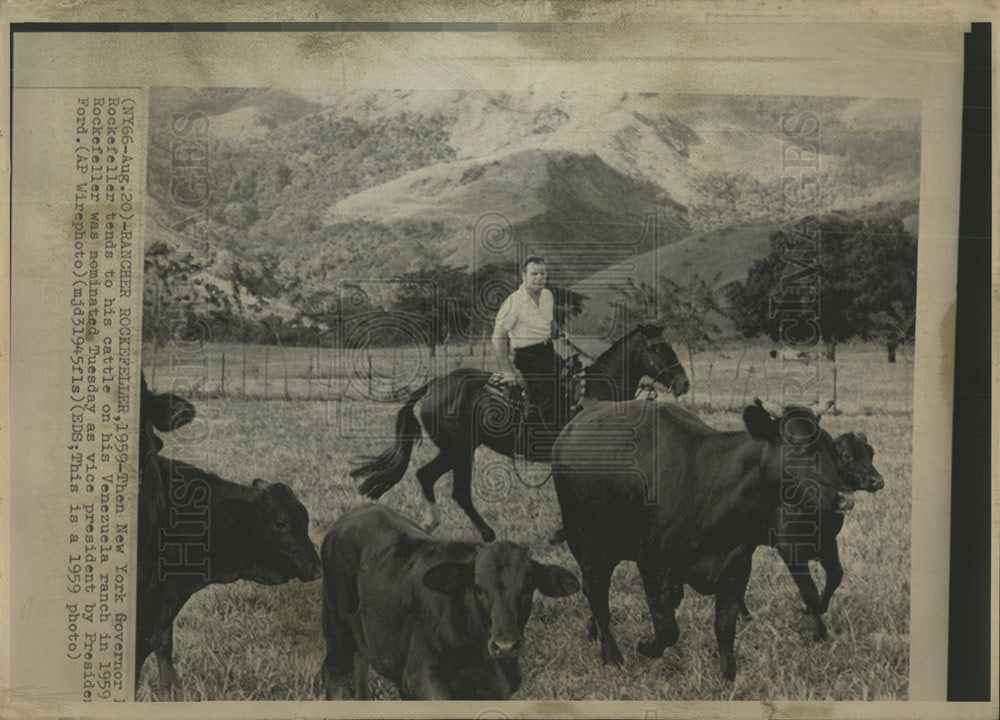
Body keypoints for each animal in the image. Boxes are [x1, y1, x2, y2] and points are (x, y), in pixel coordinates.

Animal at [312, 504, 580, 700]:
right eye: (479, 589)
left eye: (527, 590)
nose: (505, 646)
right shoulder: (421, 676)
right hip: (337, 629)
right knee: (335, 675)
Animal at [350, 324, 688, 544]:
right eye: (657, 348)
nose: (683, 383)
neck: (596, 392)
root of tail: (433, 386)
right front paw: (561, 534)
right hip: (460, 451)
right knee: (458, 491)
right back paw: (486, 534)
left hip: (455, 450)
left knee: (426, 476)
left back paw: (432, 525)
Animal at [556, 400, 852, 680]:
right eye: (799, 446)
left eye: (832, 448)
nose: (845, 498)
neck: (708, 484)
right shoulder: (653, 564)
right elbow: (667, 629)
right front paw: (646, 646)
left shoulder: (737, 566)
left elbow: (724, 627)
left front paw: (728, 678)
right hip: (587, 544)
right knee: (597, 595)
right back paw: (611, 655)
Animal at [744, 424, 884, 640]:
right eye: (847, 455)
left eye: (871, 453)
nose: (877, 481)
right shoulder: (790, 548)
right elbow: (809, 590)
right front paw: (819, 630)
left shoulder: (828, 543)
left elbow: (836, 575)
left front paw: (819, 607)